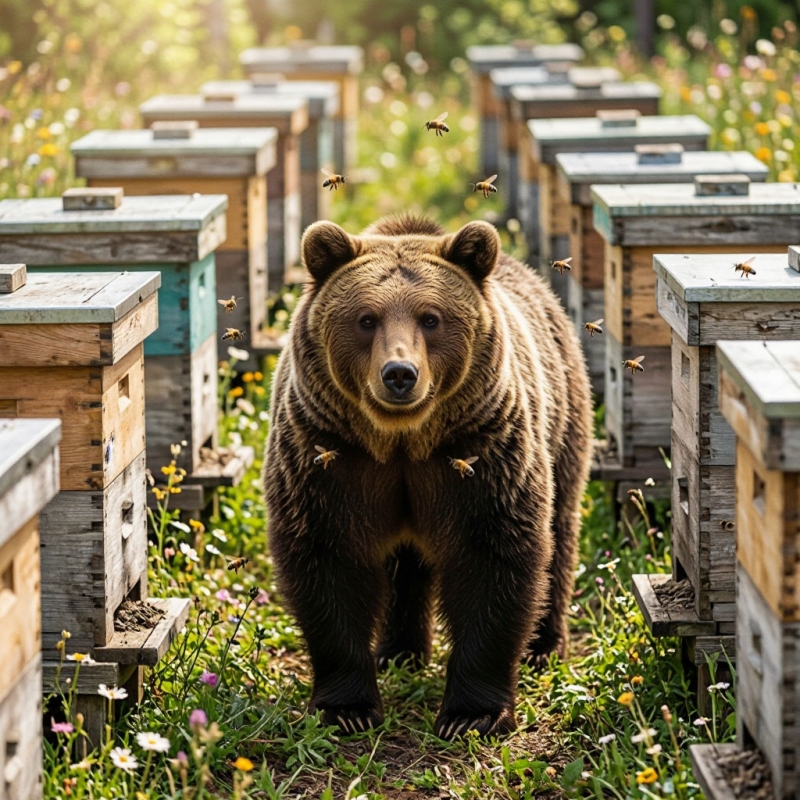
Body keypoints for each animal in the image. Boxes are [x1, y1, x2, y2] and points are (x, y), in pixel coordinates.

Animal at [265, 215, 593, 740]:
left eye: (431, 318)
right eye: (367, 319)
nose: (400, 373)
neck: (402, 441)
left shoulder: (482, 457)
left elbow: (495, 561)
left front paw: (472, 714)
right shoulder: (326, 458)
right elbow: (328, 563)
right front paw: (347, 708)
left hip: (563, 421)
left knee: (559, 533)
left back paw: (543, 646)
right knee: (406, 566)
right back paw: (398, 651)